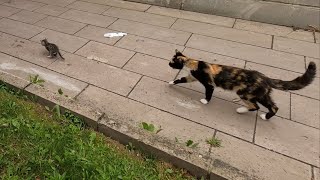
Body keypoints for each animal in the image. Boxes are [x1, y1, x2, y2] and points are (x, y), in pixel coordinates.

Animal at [169, 49, 316, 120]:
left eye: (172, 62)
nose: (168, 64)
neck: (193, 63)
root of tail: (265, 78)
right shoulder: (190, 77)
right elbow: (181, 79)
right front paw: (171, 82)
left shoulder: (208, 83)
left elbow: (209, 91)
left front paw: (205, 101)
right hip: (262, 94)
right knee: (273, 107)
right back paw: (264, 116)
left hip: (245, 93)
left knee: (255, 106)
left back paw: (241, 110)